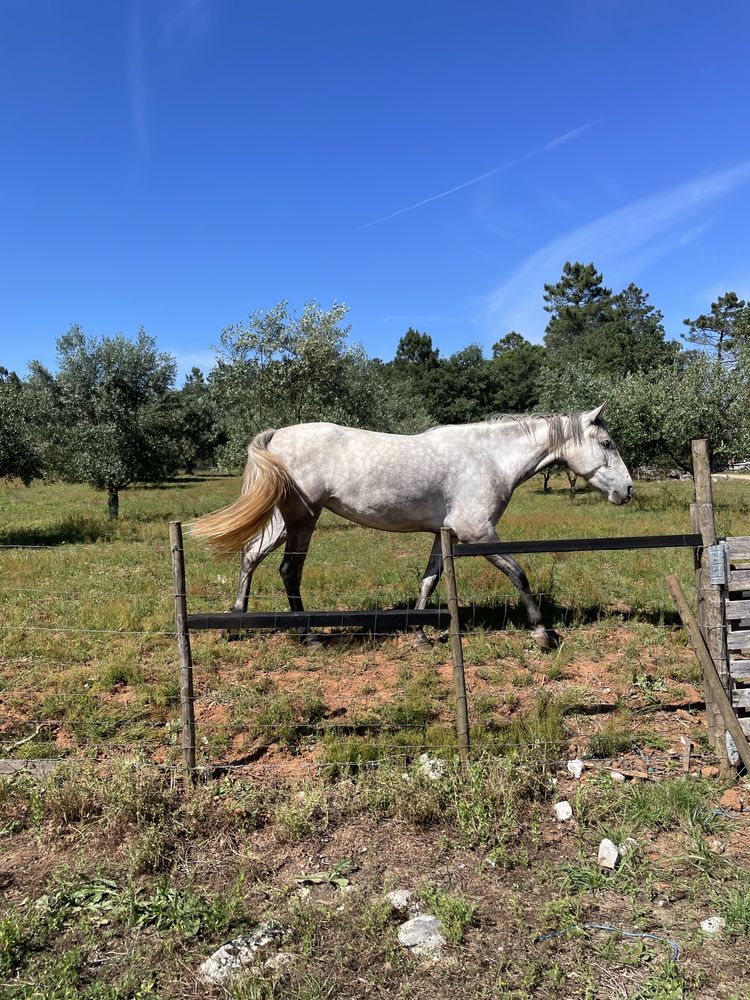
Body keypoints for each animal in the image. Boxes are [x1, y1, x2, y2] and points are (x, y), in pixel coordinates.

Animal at [192, 406, 636, 648]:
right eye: (607, 444)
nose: (628, 489)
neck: (490, 458)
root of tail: (277, 434)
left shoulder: (446, 535)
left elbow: (429, 580)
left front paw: (421, 634)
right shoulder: (477, 533)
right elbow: (518, 572)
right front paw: (542, 632)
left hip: (284, 520)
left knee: (250, 555)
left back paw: (237, 622)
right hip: (303, 519)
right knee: (288, 570)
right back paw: (309, 636)